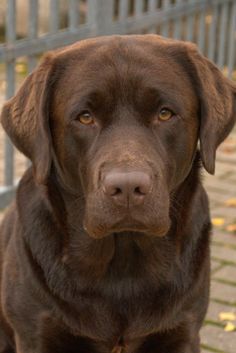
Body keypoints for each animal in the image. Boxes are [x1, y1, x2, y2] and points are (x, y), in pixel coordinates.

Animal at [0, 35, 235, 352]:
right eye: (85, 117)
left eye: (165, 113)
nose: (127, 187)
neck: (123, 265)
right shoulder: (35, 334)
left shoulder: (183, 330)